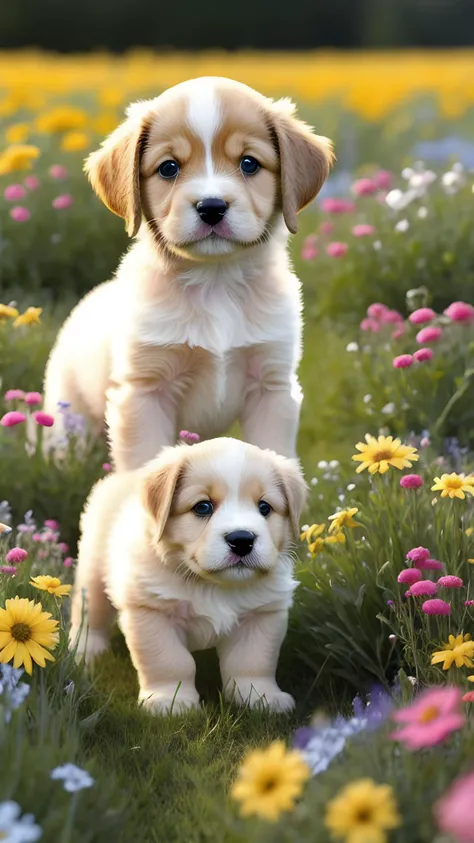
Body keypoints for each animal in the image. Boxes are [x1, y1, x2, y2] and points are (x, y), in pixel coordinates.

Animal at [44, 76, 334, 472]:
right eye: (168, 168)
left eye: (249, 163)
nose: (211, 207)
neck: (216, 282)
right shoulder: (144, 393)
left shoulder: (271, 386)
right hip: (66, 420)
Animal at [70, 438, 308, 716]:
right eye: (203, 507)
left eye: (264, 507)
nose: (242, 540)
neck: (211, 585)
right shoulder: (152, 613)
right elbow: (170, 661)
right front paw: (170, 701)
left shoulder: (262, 615)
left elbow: (253, 662)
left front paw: (261, 697)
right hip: (93, 575)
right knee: (89, 616)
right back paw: (85, 650)